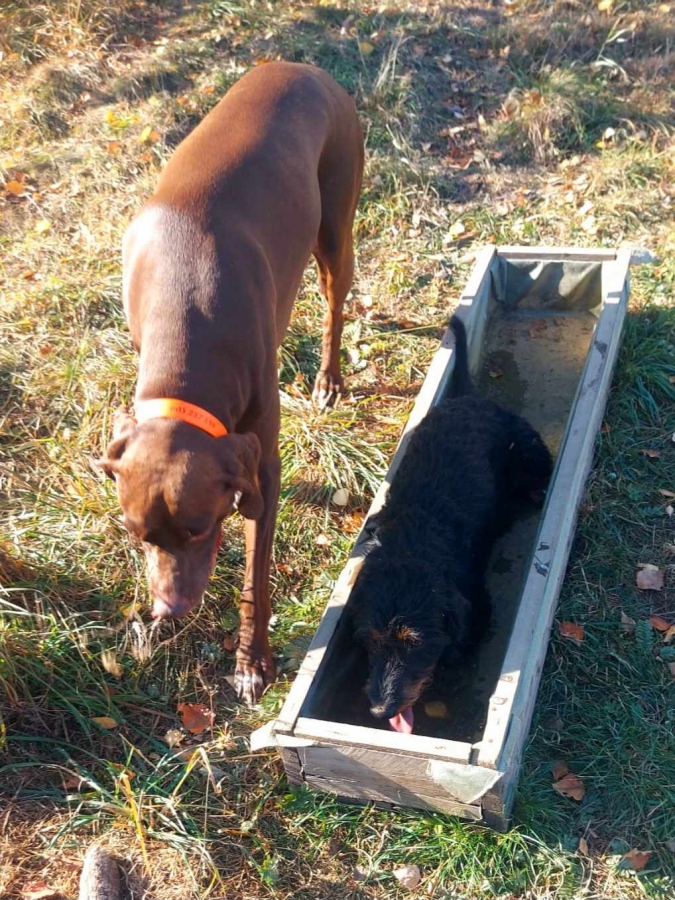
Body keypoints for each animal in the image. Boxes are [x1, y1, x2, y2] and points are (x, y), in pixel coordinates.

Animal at [94, 62, 364, 705]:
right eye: (136, 533)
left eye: (198, 528)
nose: (168, 610)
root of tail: (306, 68)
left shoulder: (261, 465)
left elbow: (254, 578)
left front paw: (250, 661)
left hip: (334, 227)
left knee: (334, 301)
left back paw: (329, 379)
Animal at [350, 316, 553, 733]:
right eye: (370, 639)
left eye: (414, 642)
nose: (380, 711)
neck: (413, 547)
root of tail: (471, 399)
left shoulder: (478, 612)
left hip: (529, 448)